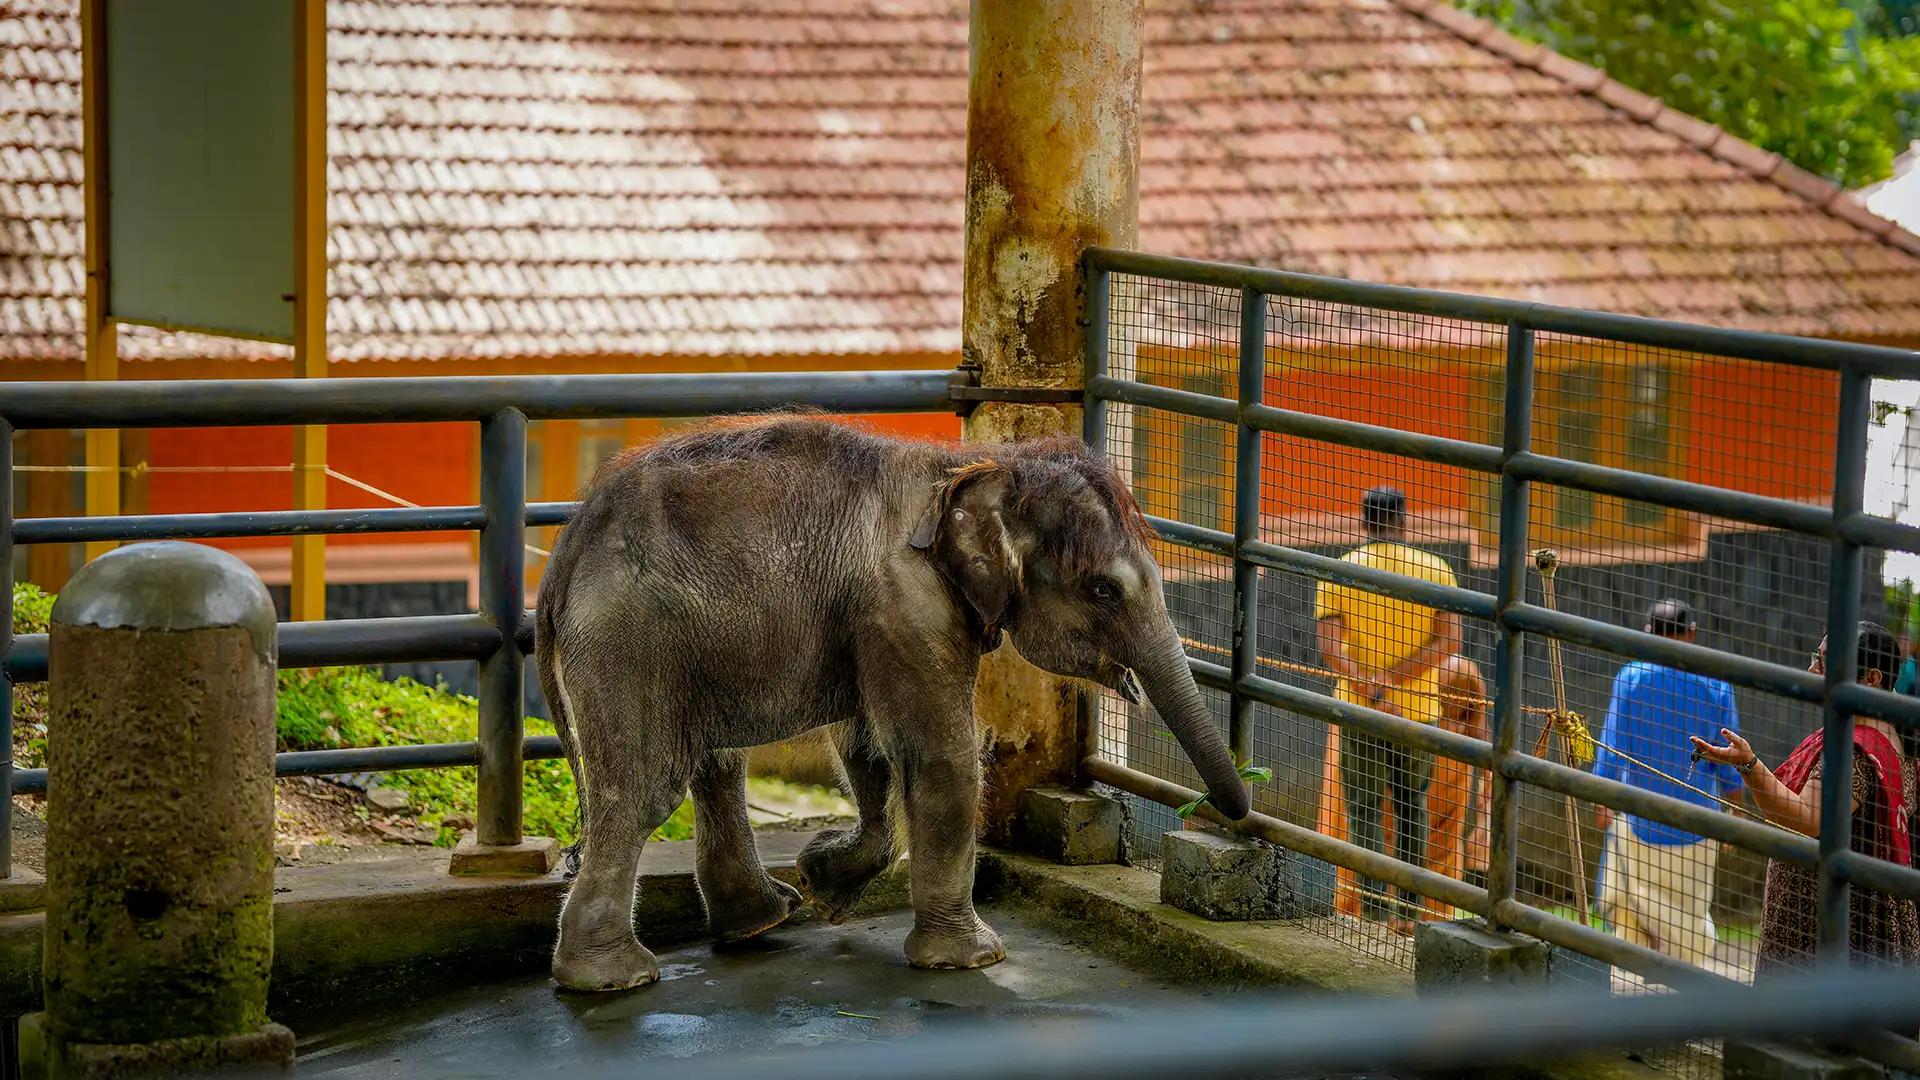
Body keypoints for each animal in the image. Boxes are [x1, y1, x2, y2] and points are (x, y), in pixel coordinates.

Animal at [533, 417, 1251, 991]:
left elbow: (868, 747)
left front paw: (826, 886)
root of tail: (564, 556)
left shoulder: (872, 619)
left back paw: (762, 921)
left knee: (716, 765)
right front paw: (973, 960)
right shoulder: (908, 604)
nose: (1237, 816)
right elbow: (940, 756)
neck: (977, 464)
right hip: (632, 643)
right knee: (643, 792)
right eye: (1103, 590)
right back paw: (613, 979)